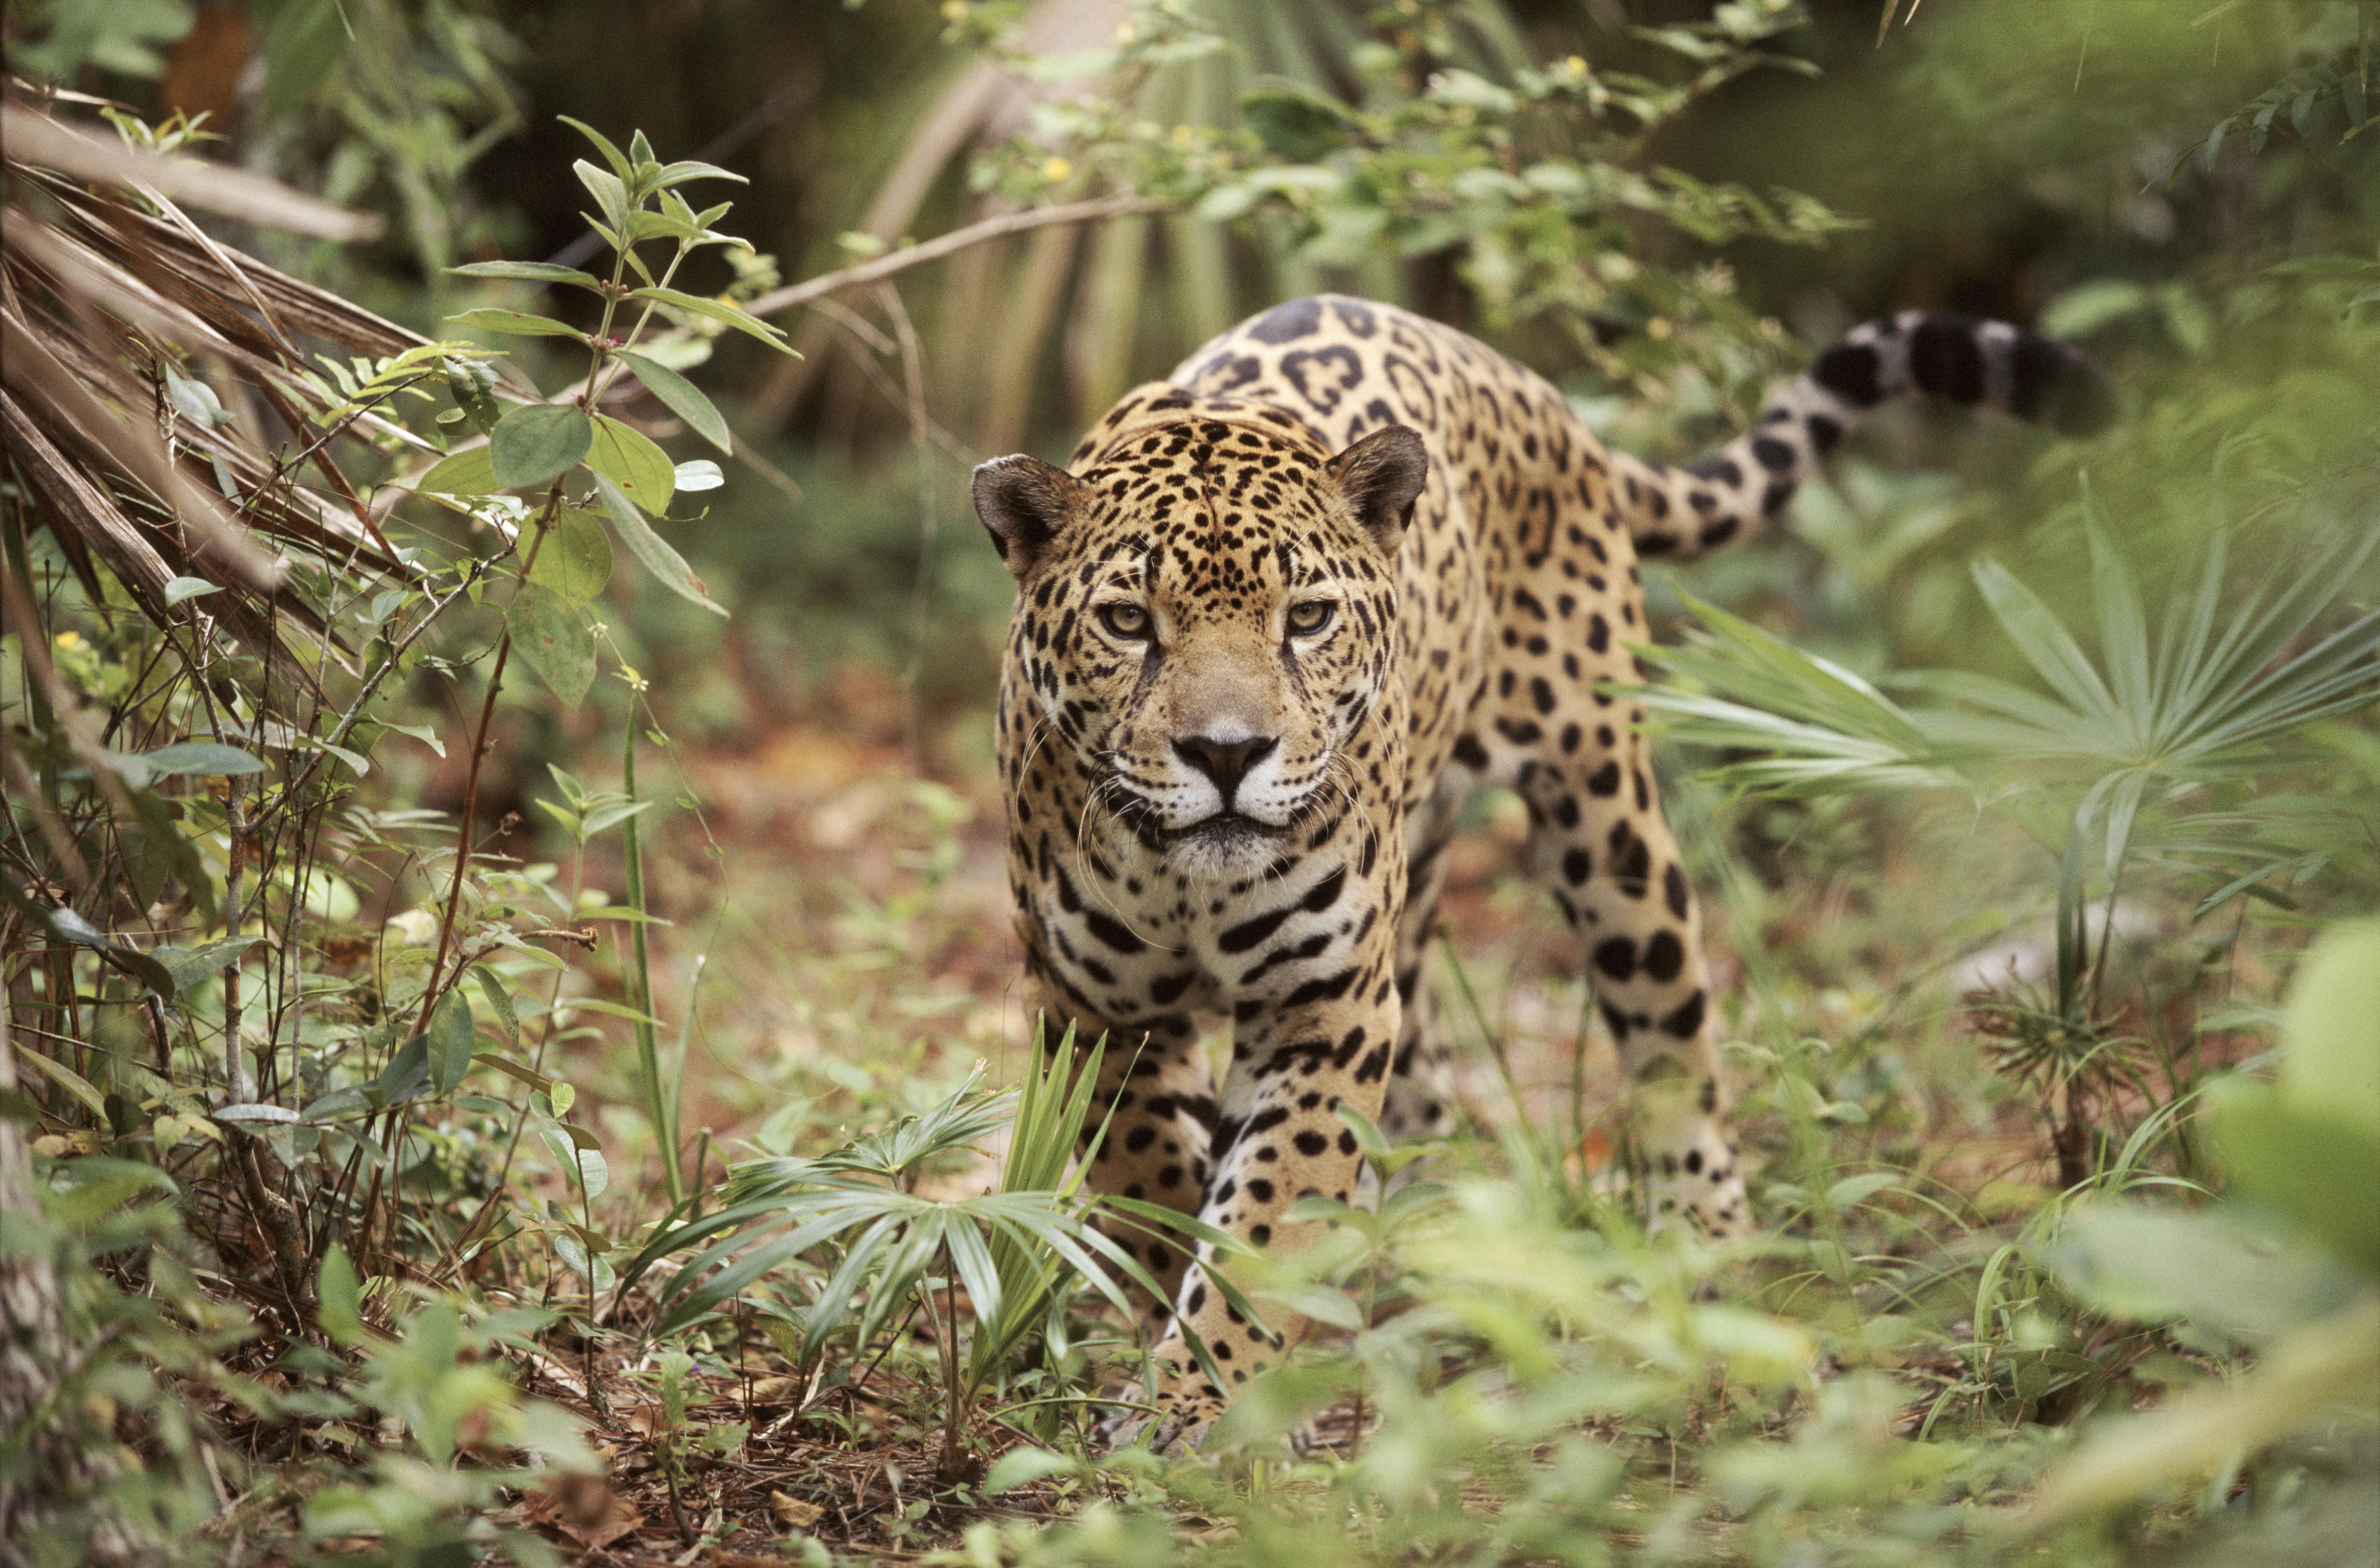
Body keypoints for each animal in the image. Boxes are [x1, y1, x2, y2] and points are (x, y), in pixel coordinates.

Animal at [970, 294, 2113, 1453]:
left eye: (1307, 618)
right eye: (1127, 623)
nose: (1227, 753)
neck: (1190, 886)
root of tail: (1529, 389)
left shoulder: (1323, 1005)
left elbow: (1266, 1209)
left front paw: (1207, 1396)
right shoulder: (1094, 1010)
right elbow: (1153, 1184)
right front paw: (1184, 1366)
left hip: (1607, 817)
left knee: (1673, 1045)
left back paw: (1705, 1269)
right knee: (1425, 1089)